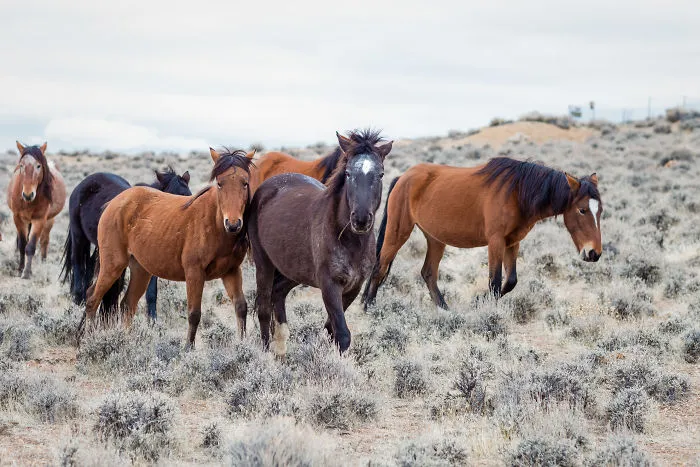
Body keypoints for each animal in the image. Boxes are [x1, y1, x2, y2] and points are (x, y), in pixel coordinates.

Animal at [7, 142, 66, 278]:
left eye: (38, 165)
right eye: (21, 165)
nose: (28, 195)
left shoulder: (39, 220)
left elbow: (31, 246)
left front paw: (27, 272)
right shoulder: (18, 218)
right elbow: (22, 244)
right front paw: (20, 269)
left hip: (49, 220)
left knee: (44, 241)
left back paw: (43, 263)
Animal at [81, 149, 253, 347]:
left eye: (245, 183)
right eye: (220, 183)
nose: (233, 224)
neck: (214, 223)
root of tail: (114, 202)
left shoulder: (231, 271)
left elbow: (241, 307)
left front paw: (243, 344)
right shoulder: (194, 273)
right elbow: (194, 313)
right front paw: (188, 348)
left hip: (141, 271)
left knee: (127, 304)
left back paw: (126, 341)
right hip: (113, 265)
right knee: (92, 299)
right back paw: (88, 341)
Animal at [248, 129, 392, 356]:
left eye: (380, 174)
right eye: (348, 173)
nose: (360, 219)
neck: (350, 241)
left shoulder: (354, 287)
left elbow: (331, 329)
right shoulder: (329, 285)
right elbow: (342, 334)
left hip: (294, 269)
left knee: (277, 293)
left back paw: (281, 349)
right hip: (264, 262)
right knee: (263, 307)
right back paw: (265, 354)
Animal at [362, 157, 602, 309]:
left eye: (600, 211)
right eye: (582, 210)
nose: (594, 253)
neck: (517, 193)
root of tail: (403, 177)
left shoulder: (512, 243)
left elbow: (510, 281)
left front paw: (478, 301)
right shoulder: (495, 242)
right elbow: (495, 282)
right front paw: (484, 306)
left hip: (435, 239)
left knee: (428, 273)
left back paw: (445, 309)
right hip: (398, 231)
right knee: (380, 267)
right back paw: (369, 307)